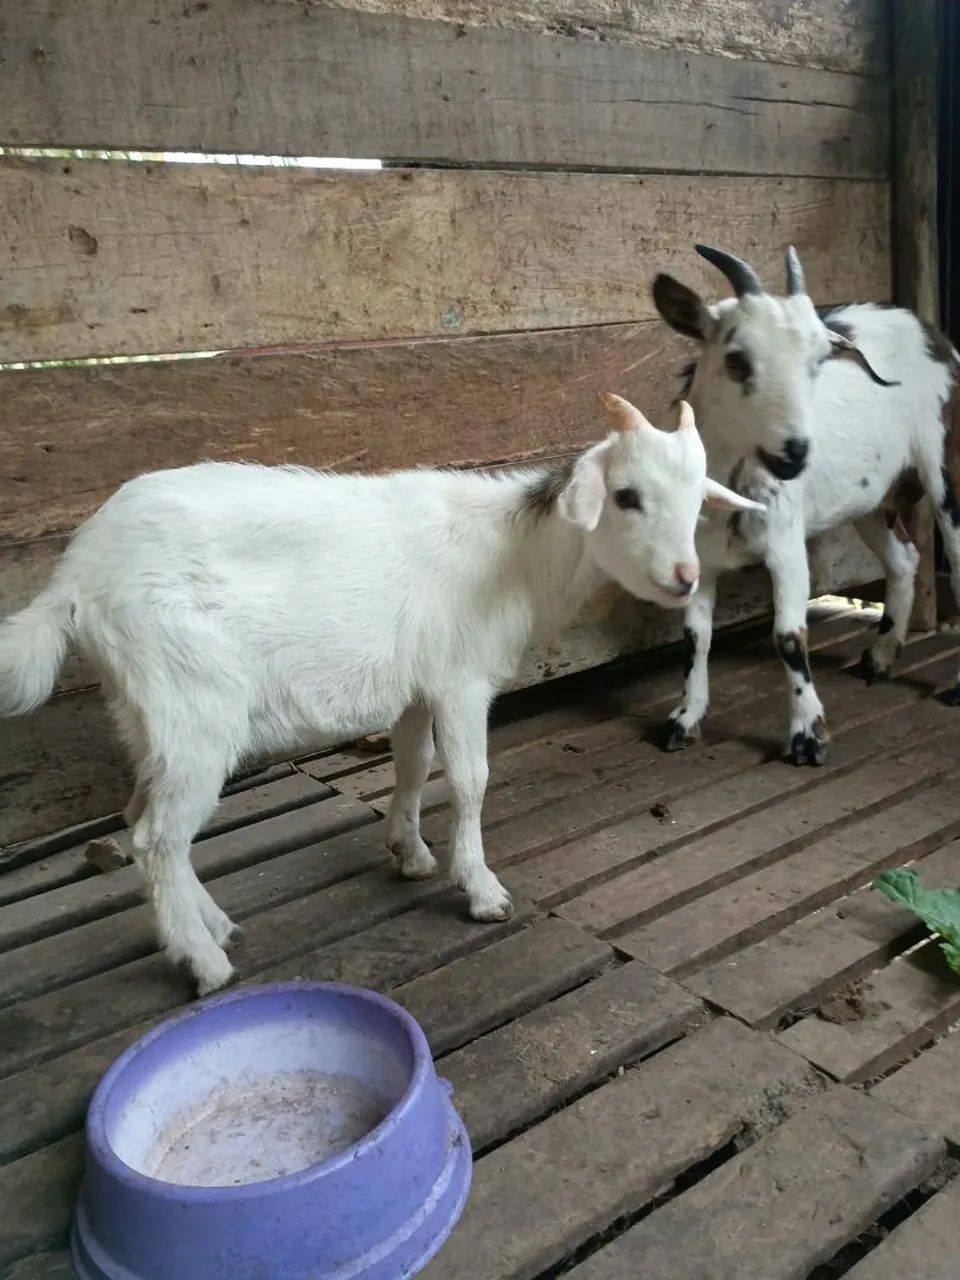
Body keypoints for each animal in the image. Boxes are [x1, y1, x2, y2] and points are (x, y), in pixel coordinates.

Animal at [0, 395, 759, 994]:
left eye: (698, 501)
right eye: (627, 496)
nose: (685, 578)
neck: (516, 557)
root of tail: (76, 575)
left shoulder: (418, 688)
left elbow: (413, 766)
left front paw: (410, 852)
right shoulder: (460, 680)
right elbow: (471, 779)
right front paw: (480, 889)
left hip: (147, 711)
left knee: (143, 820)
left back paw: (213, 926)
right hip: (192, 702)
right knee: (159, 834)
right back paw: (203, 962)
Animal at [651, 243, 959, 765]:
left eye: (819, 361)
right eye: (737, 360)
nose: (795, 452)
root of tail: (929, 329)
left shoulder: (785, 544)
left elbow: (790, 637)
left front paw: (808, 736)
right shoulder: (699, 552)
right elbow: (695, 636)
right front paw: (685, 719)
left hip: (945, 464)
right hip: (870, 496)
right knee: (904, 557)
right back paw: (880, 658)